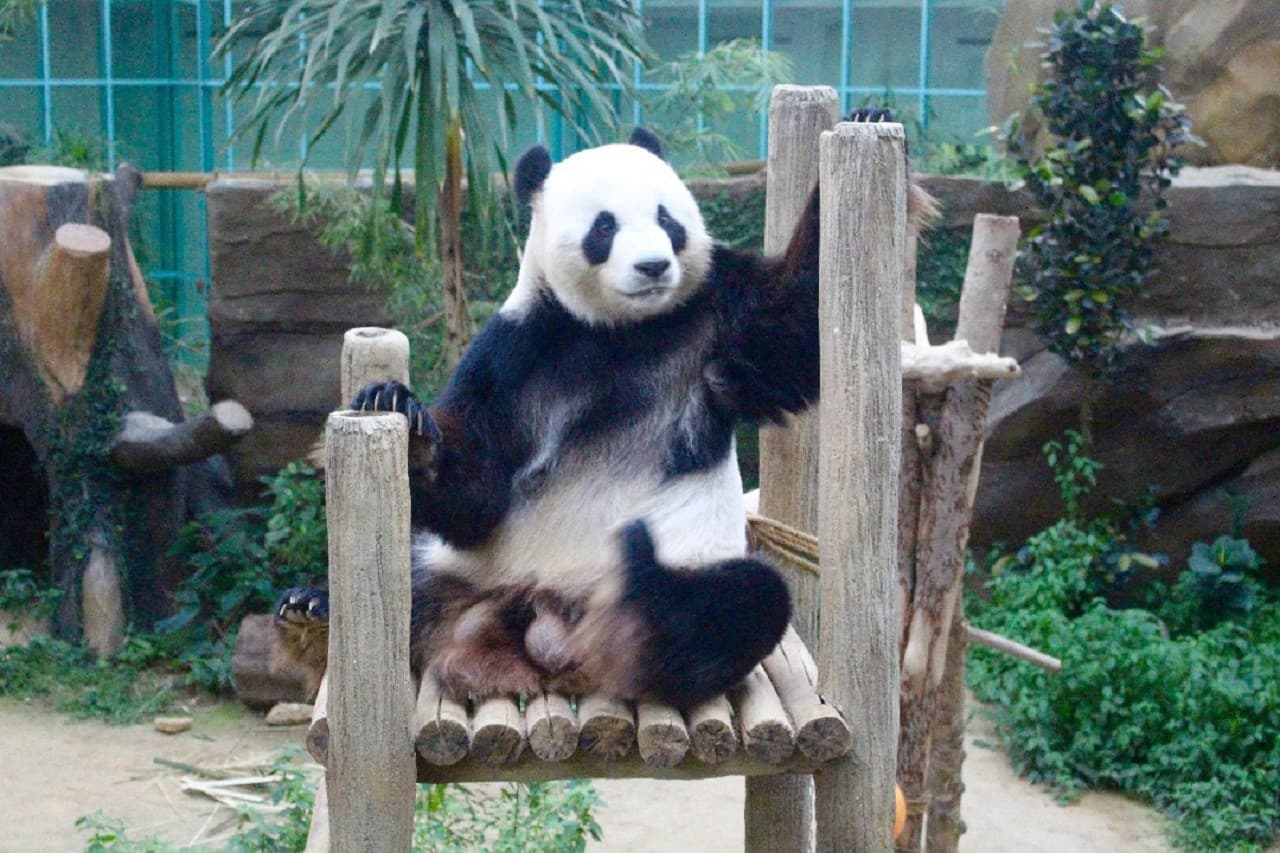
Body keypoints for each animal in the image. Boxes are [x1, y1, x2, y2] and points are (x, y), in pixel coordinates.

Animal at [278, 115, 924, 709]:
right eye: (604, 227)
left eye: (667, 219)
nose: (653, 266)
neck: (620, 331)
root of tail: (537, 626)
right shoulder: (519, 351)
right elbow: (478, 491)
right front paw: (401, 414)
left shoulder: (716, 314)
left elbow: (794, 325)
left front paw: (870, 121)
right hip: (469, 575)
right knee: (406, 573)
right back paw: (313, 610)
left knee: (743, 599)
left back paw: (638, 608)